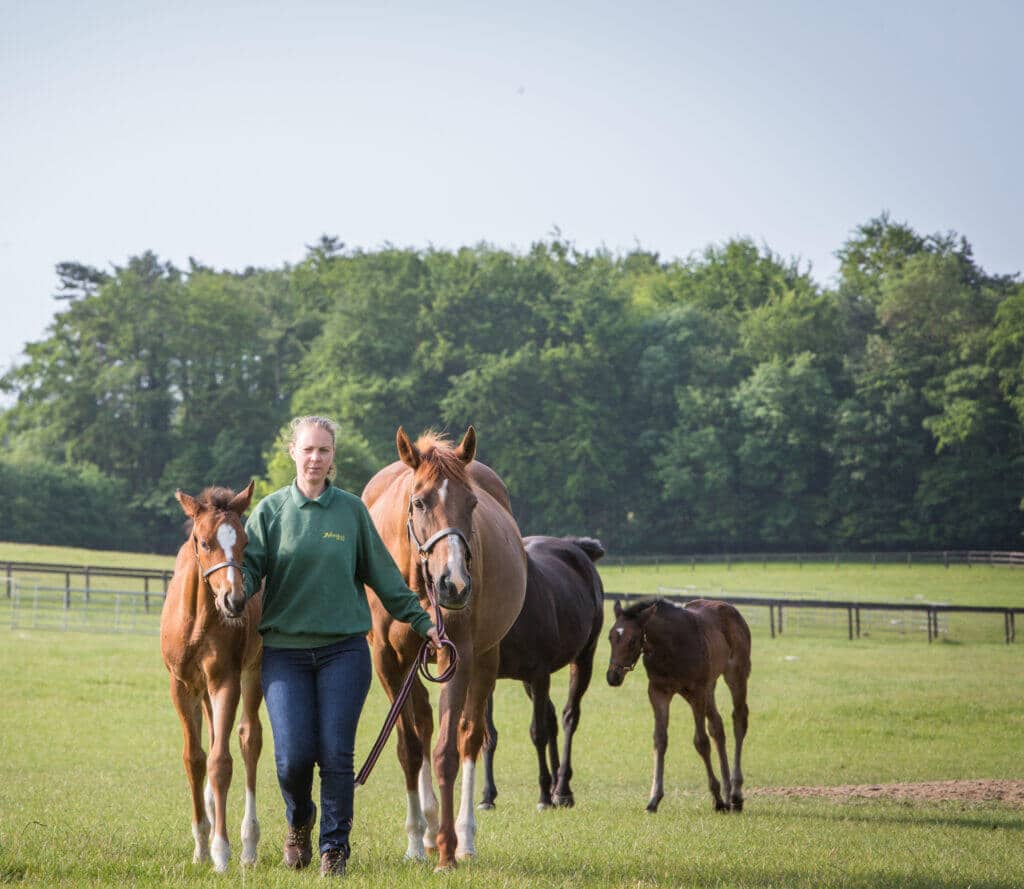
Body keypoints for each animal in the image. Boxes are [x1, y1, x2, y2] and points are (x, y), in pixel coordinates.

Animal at [158, 483, 262, 872]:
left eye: (245, 542)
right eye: (204, 542)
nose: (235, 600)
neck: (197, 620)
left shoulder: (225, 680)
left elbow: (221, 762)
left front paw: (221, 850)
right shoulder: (182, 686)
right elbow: (195, 758)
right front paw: (201, 844)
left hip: (253, 671)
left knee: (249, 740)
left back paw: (249, 845)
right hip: (203, 691)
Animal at [362, 428, 524, 872]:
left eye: (471, 503)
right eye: (419, 501)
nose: (455, 584)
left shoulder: (459, 655)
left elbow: (447, 753)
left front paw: (448, 851)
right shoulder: (387, 662)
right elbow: (409, 748)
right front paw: (418, 842)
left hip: (486, 658)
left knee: (470, 737)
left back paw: (463, 838)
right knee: (421, 726)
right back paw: (429, 832)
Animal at [479, 536, 606, 811]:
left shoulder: (539, 673)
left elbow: (537, 733)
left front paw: (543, 798)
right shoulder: (486, 679)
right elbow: (488, 735)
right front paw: (487, 796)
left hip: (582, 659)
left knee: (569, 717)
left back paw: (562, 790)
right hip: (530, 681)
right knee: (552, 718)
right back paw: (556, 786)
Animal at [606, 598, 753, 811]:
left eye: (632, 640)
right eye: (610, 637)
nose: (613, 677)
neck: (670, 647)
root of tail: (731, 609)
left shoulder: (696, 692)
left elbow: (701, 742)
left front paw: (716, 798)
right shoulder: (658, 692)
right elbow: (660, 740)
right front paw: (654, 799)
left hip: (736, 674)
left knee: (739, 720)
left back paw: (735, 794)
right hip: (710, 686)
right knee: (717, 727)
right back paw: (727, 793)